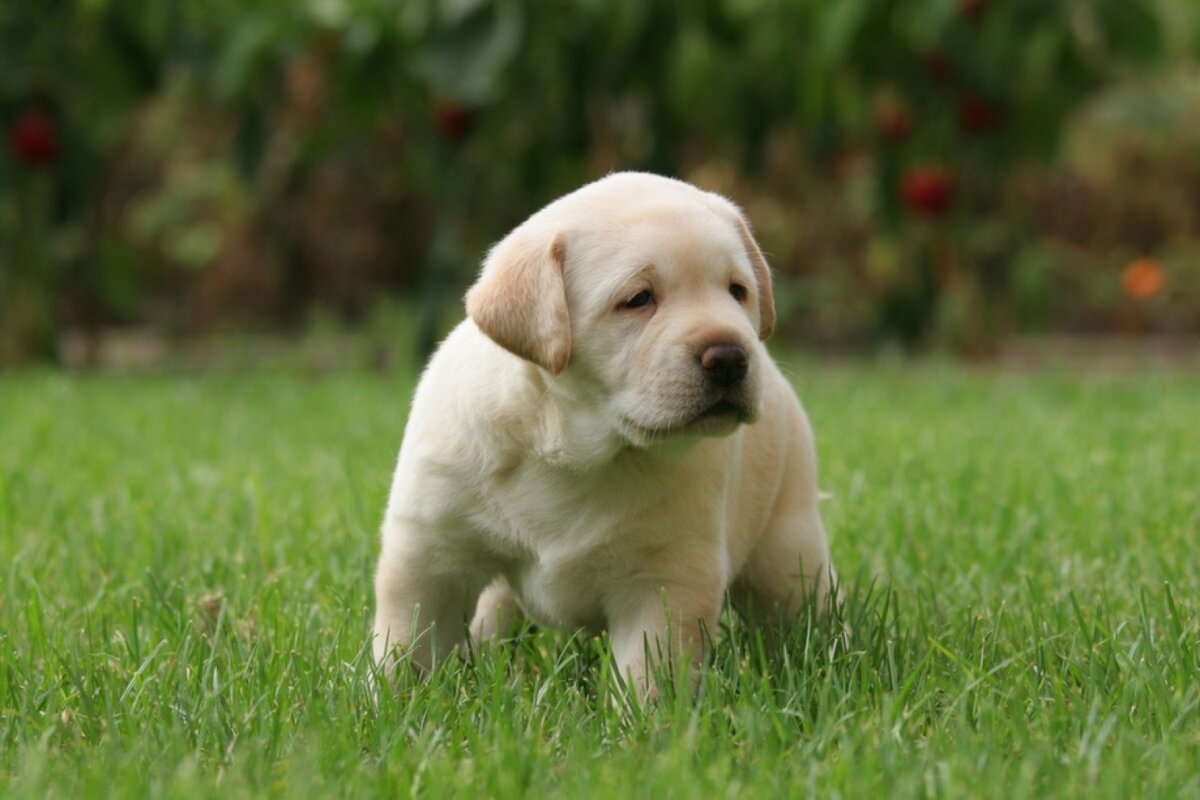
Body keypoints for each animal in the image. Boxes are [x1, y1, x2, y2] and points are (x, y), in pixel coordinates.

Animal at [374, 172, 835, 695]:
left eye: (737, 290)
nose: (732, 357)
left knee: (797, 608)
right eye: (638, 299)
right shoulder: (431, 552)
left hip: (788, 549)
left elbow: (649, 673)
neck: (570, 450)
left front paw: (648, 717)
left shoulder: (666, 579)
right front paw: (388, 700)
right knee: (494, 608)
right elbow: (407, 643)